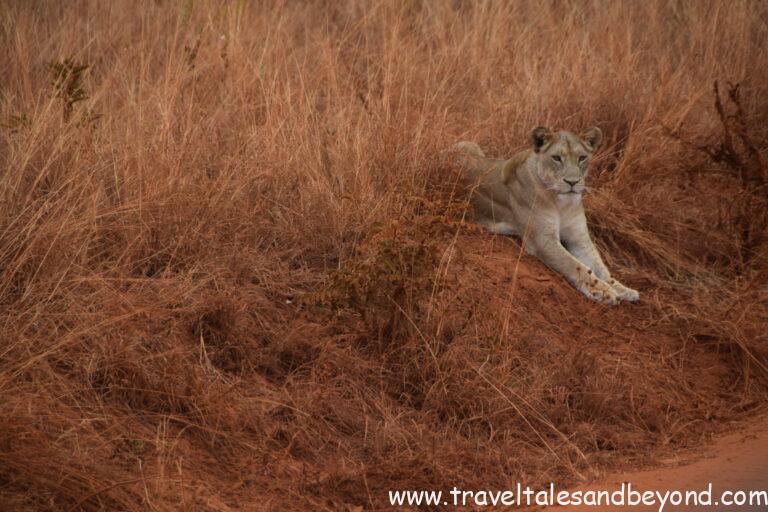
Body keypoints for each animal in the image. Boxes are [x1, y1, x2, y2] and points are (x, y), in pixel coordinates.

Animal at [453, 126, 639, 305]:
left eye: (582, 158)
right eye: (556, 158)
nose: (572, 182)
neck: (563, 203)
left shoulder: (580, 240)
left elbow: (601, 268)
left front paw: (624, 289)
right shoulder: (542, 240)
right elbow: (575, 266)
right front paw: (604, 291)